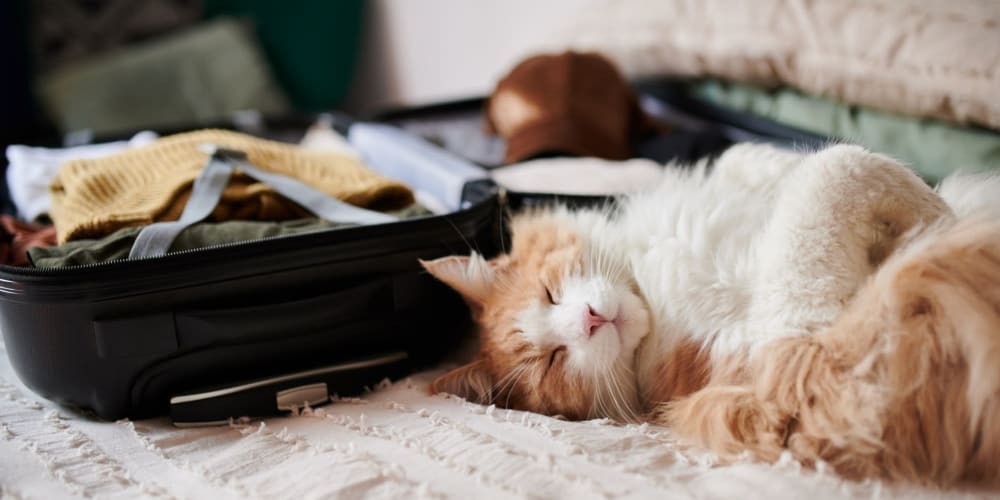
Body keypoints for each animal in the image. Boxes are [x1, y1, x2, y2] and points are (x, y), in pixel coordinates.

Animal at [422, 143, 1000, 486]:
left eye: (548, 292)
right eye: (553, 361)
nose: (589, 320)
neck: (650, 291)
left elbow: (763, 160)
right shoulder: (806, 369)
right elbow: (834, 172)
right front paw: (943, 220)